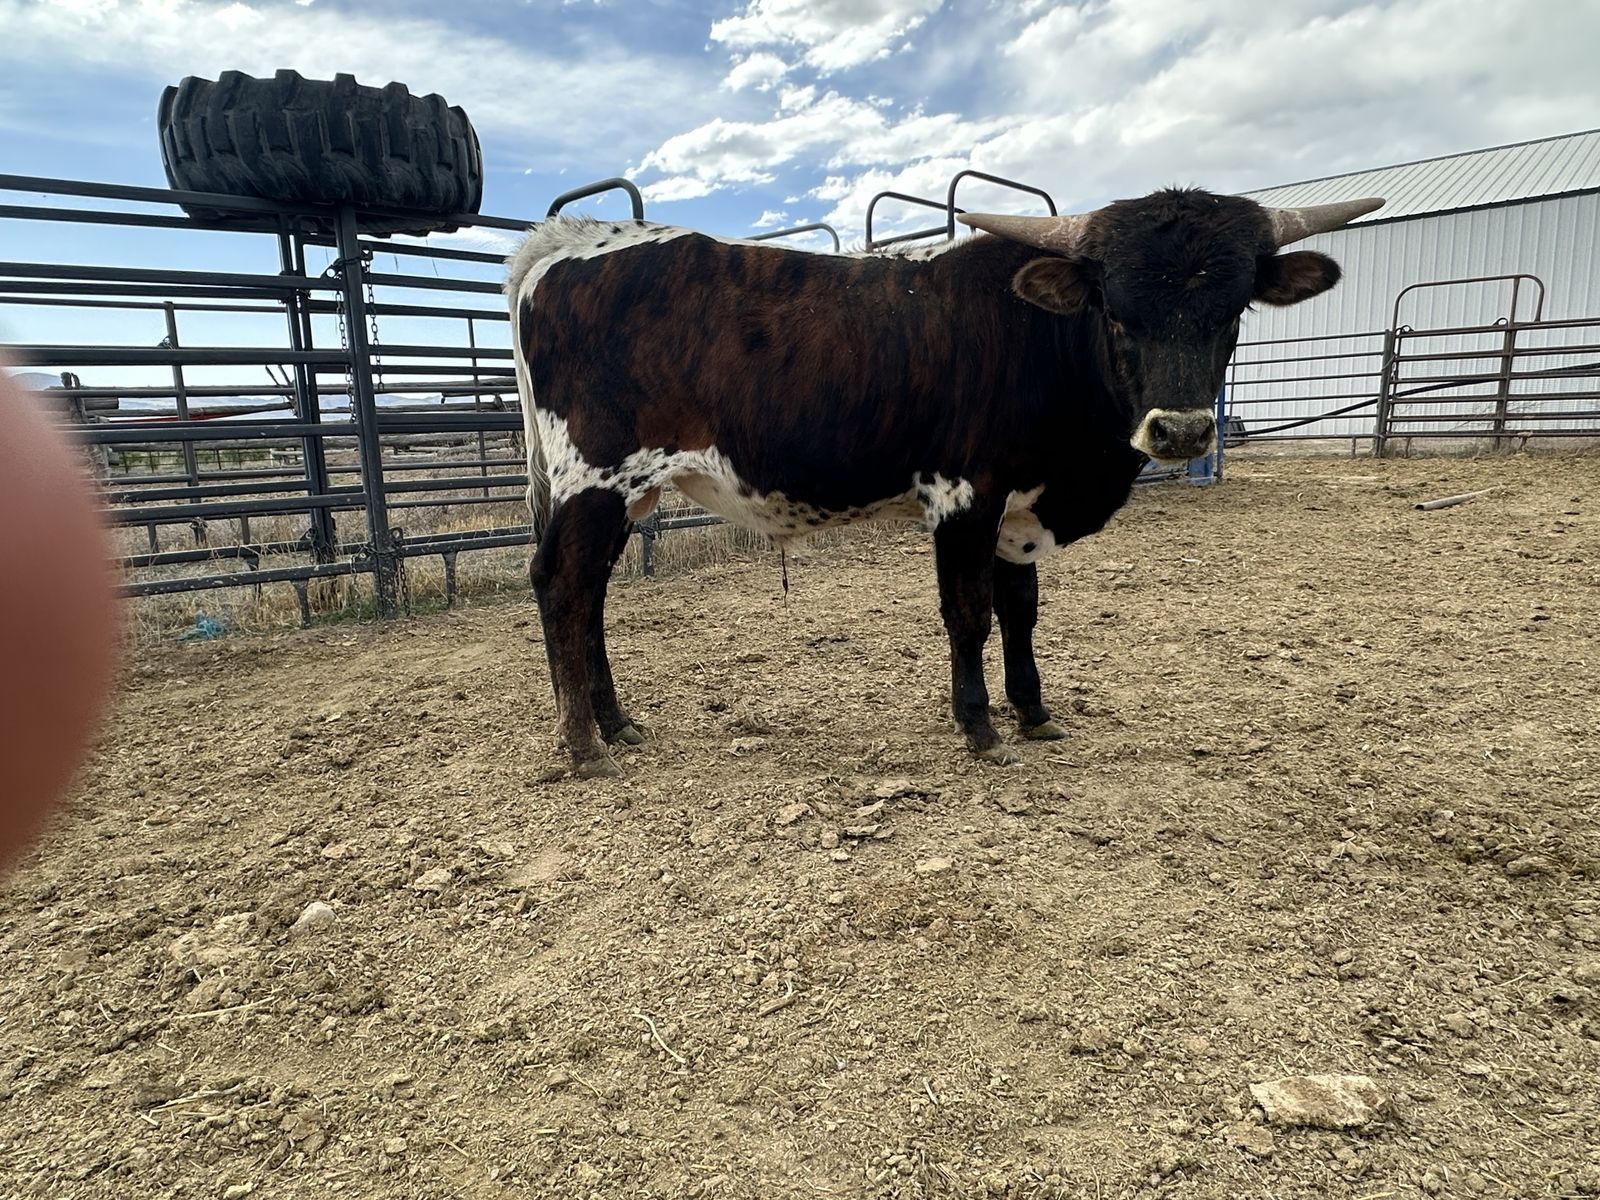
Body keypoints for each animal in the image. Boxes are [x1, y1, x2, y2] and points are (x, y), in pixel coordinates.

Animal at [506, 188, 1383, 777]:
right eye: (1116, 310)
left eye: (1233, 312)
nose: (1184, 431)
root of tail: (572, 241)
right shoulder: (965, 493)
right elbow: (970, 613)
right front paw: (979, 727)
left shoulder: (1020, 511)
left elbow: (1021, 611)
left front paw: (1033, 712)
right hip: (598, 477)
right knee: (562, 585)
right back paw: (583, 745)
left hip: (627, 492)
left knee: (591, 595)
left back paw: (616, 722)